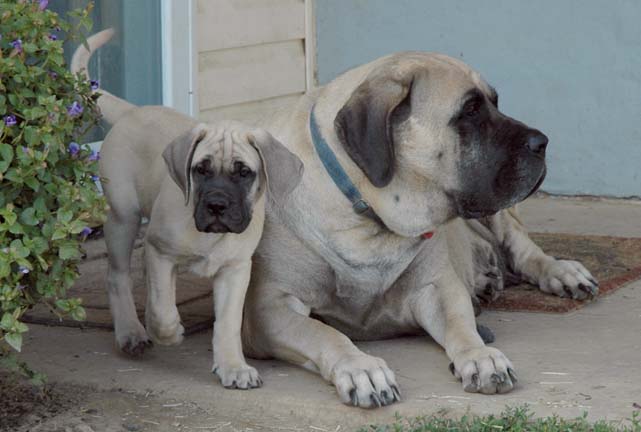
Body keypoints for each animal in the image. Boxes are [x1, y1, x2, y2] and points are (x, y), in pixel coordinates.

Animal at [74, 30, 304, 388]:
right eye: (201, 170)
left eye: (244, 172)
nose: (217, 204)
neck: (209, 237)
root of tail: (131, 111)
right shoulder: (160, 251)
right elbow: (163, 307)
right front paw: (167, 332)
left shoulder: (235, 270)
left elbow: (227, 324)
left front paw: (233, 366)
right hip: (123, 218)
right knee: (119, 276)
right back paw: (131, 332)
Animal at [242, 52, 596, 406]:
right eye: (470, 110)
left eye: (495, 102)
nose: (542, 142)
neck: (366, 220)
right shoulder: (270, 308)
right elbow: (324, 332)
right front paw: (360, 368)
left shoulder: (438, 287)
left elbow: (461, 327)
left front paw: (481, 356)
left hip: (501, 217)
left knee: (522, 250)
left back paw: (563, 273)